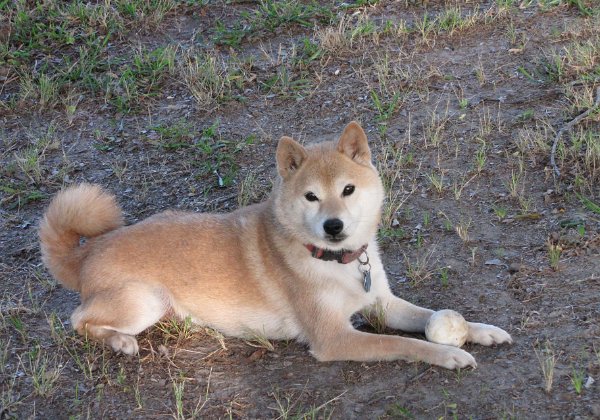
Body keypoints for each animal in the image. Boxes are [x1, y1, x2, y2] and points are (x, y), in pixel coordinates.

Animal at [39, 121, 512, 369]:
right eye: (311, 197)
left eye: (348, 189)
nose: (334, 225)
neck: (335, 262)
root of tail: (87, 251)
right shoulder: (334, 339)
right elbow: (403, 344)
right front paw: (445, 353)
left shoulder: (381, 304)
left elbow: (429, 316)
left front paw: (479, 331)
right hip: (145, 300)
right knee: (78, 320)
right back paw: (119, 342)